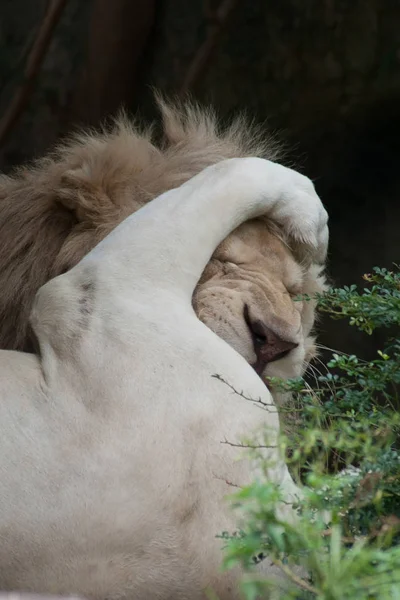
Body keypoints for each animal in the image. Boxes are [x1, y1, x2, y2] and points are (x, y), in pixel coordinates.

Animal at [0, 157, 328, 596]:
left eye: (293, 290)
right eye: (226, 259)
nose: (273, 342)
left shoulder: (106, 292)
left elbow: (235, 170)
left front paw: (313, 229)